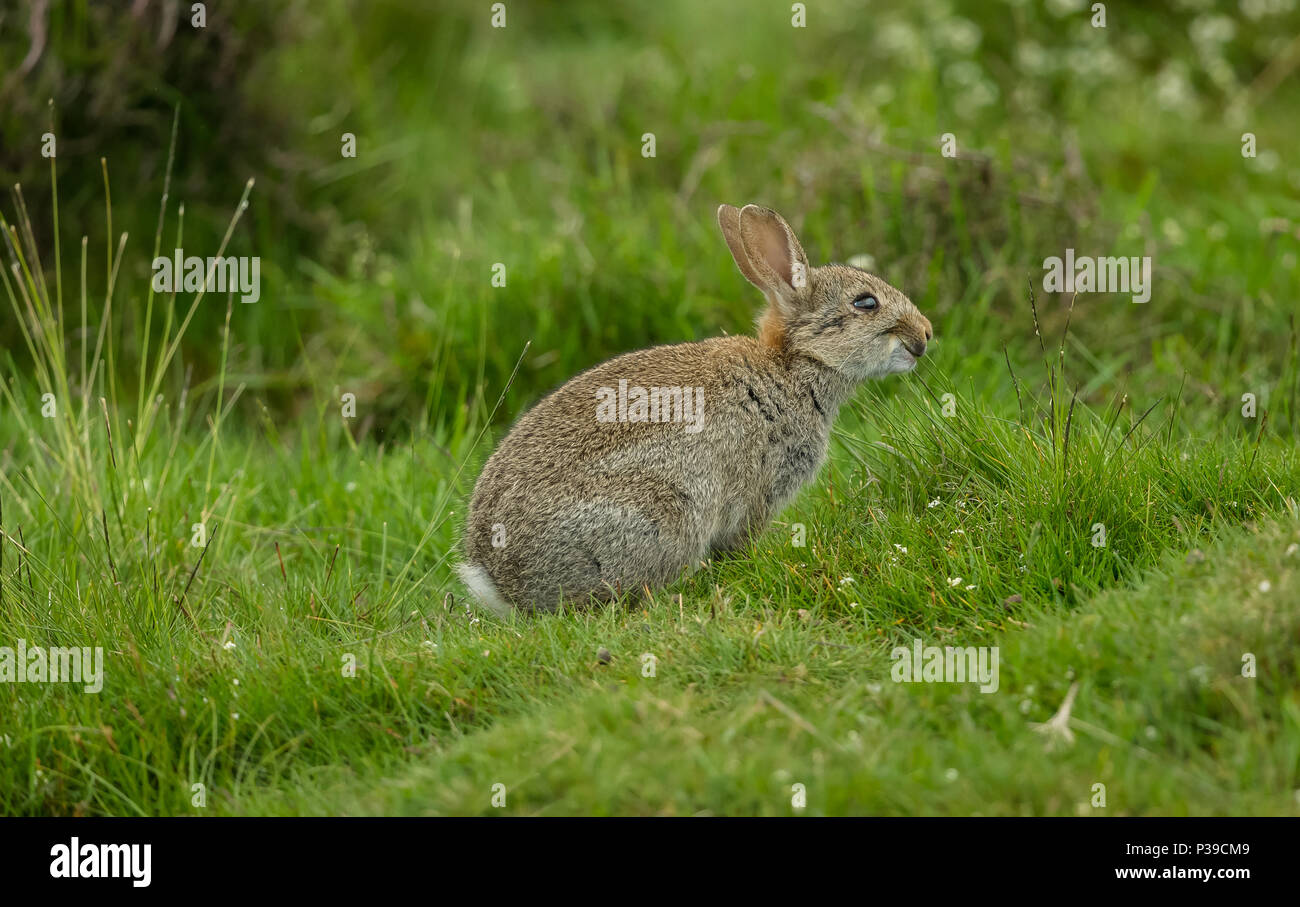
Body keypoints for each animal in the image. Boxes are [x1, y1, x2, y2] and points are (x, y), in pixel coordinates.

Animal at [457, 204, 933, 615]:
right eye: (865, 303)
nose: (926, 335)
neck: (790, 365)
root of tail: (500, 582)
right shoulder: (758, 491)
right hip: (659, 514)